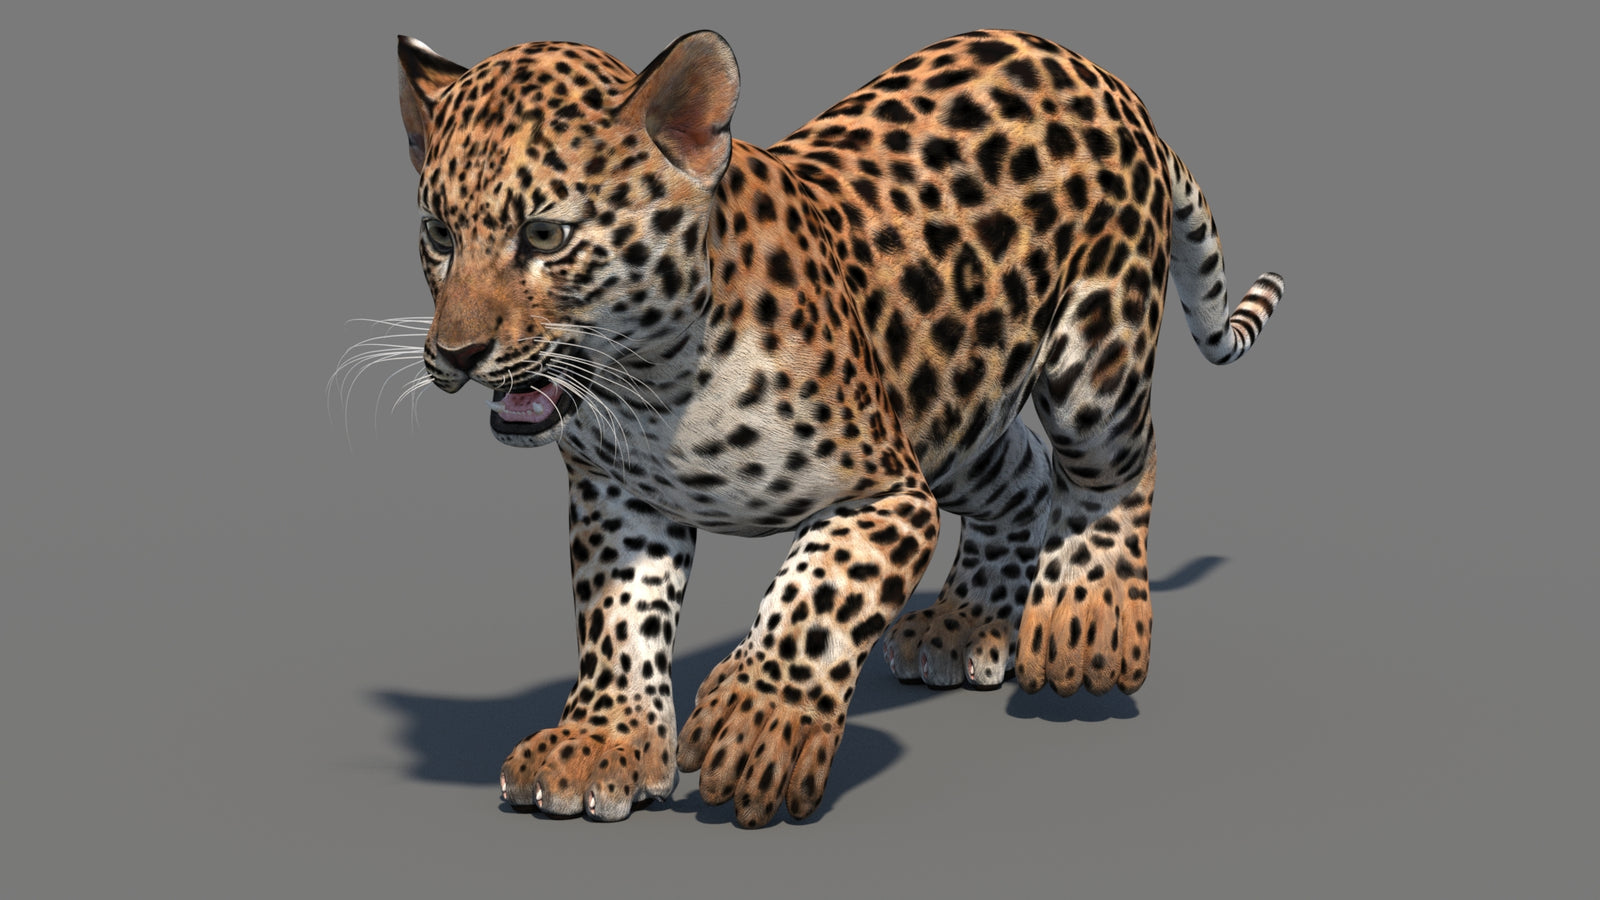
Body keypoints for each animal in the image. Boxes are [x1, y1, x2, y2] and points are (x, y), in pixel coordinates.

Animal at [390, 27, 1283, 828]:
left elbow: (818, 590)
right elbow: (618, 620)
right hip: (954, 409)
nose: (455, 354)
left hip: (1091, 362)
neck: (653, 387)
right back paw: (966, 626)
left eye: (545, 235)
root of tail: (1102, 76)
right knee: (1027, 478)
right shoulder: (621, 500)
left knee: (1118, 465)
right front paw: (603, 742)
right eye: (438, 235)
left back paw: (1086, 617)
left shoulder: (887, 491)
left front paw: (761, 723)